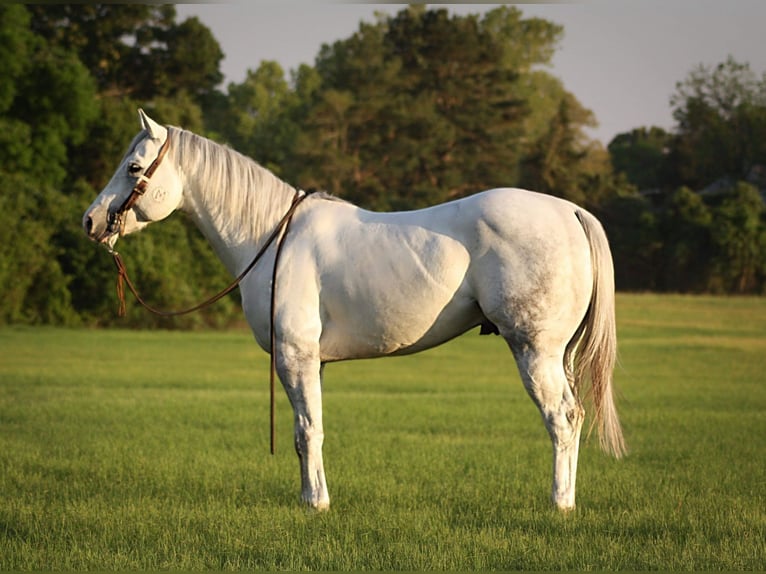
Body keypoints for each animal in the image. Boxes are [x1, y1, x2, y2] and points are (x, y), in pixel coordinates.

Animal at [84, 111, 624, 512]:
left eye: (133, 168)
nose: (90, 221)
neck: (270, 237)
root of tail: (570, 211)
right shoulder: (311, 362)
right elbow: (307, 430)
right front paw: (311, 496)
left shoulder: (295, 357)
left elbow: (307, 431)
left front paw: (315, 504)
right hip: (558, 354)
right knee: (572, 417)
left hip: (534, 350)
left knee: (562, 418)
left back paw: (559, 504)